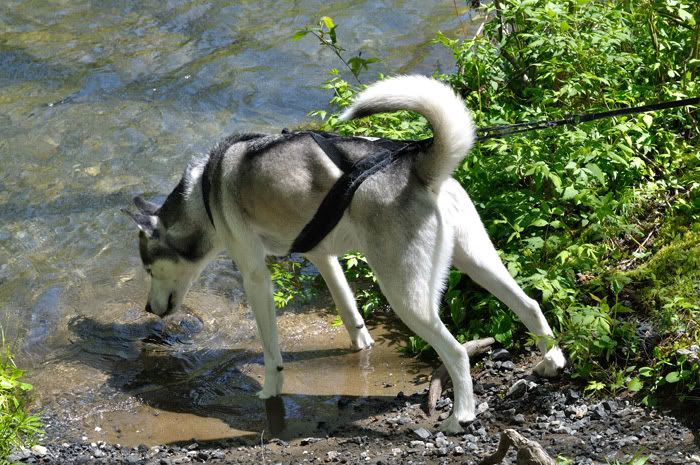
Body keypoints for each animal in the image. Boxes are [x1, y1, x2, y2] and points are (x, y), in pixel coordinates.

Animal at [123, 74, 568, 434]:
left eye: (149, 268)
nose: (147, 308)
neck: (204, 192)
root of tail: (419, 165)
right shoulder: (323, 257)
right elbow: (348, 307)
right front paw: (360, 345)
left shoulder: (254, 276)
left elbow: (270, 351)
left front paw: (270, 390)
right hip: (477, 262)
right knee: (529, 305)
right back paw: (550, 362)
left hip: (407, 297)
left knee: (457, 352)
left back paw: (460, 416)